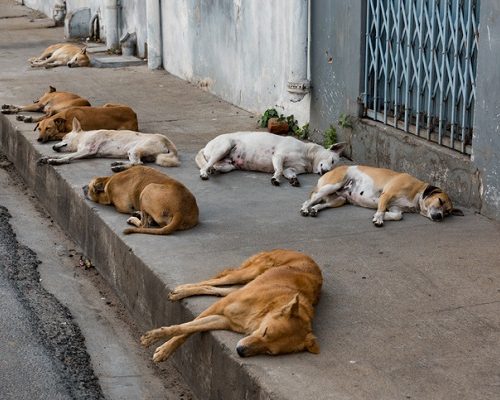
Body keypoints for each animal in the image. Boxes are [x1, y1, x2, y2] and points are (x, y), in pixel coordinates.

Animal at [38, 117, 181, 170]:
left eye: (63, 138)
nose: (53, 146)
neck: (83, 137)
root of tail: (167, 141)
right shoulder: (86, 152)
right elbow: (62, 155)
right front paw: (47, 157)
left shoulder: (88, 150)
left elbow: (67, 157)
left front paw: (55, 161)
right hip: (135, 152)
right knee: (138, 162)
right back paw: (119, 164)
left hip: (134, 150)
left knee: (138, 163)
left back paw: (119, 167)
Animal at [140, 248, 324, 360]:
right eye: (265, 332)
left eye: (269, 351)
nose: (240, 352)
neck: (263, 310)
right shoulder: (218, 307)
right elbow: (183, 329)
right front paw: (159, 345)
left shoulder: (223, 320)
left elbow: (189, 329)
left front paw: (163, 348)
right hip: (247, 274)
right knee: (214, 280)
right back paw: (181, 290)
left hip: (243, 284)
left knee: (216, 288)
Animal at [196, 132, 348, 187]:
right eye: (332, 161)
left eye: (333, 167)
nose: (326, 171)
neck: (307, 155)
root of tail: (206, 146)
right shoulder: (278, 156)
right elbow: (279, 170)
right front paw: (275, 178)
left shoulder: (290, 169)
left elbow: (288, 172)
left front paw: (294, 179)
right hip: (224, 147)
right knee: (205, 166)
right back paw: (204, 173)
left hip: (229, 165)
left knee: (215, 166)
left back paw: (213, 170)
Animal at [298, 163, 462, 225]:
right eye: (440, 201)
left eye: (447, 212)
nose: (439, 216)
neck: (417, 192)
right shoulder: (387, 195)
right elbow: (381, 209)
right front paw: (379, 218)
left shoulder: (396, 209)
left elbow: (397, 216)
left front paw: (384, 216)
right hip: (332, 185)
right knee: (309, 200)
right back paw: (306, 209)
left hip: (339, 199)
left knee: (321, 204)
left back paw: (314, 210)